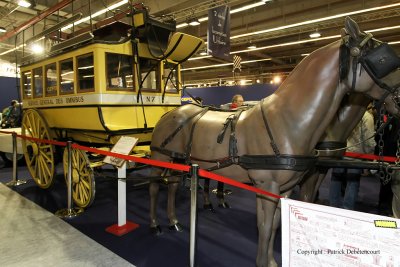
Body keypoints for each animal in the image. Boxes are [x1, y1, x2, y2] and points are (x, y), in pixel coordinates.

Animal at [148, 17, 400, 266]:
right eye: (382, 59)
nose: (399, 101)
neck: (286, 120)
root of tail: (169, 114)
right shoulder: (266, 185)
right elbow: (266, 226)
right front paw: (263, 261)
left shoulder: (284, 188)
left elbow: (276, 223)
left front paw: (269, 261)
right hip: (160, 157)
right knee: (154, 187)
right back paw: (155, 224)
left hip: (178, 161)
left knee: (172, 185)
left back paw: (173, 220)